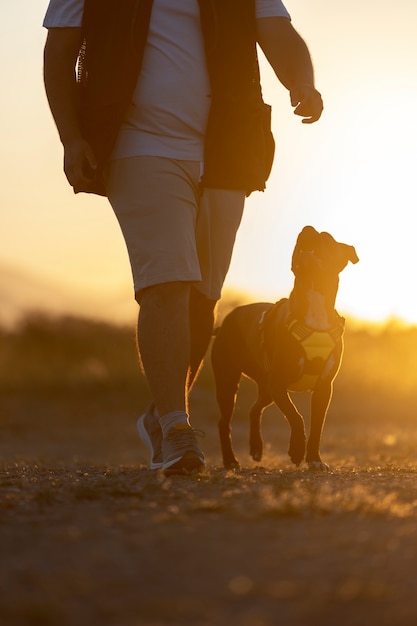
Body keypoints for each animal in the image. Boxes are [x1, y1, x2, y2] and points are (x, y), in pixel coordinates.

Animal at [211, 224, 358, 468]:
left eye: (327, 239)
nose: (307, 228)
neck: (314, 299)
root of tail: (223, 324)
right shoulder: (279, 383)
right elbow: (296, 416)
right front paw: (297, 451)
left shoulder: (323, 388)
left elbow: (317, 426)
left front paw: (314, 459)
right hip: (229, 381)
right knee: (224, 421)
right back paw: (231, 460)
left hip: (265, 387)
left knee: (254, 410)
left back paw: (256, 448)